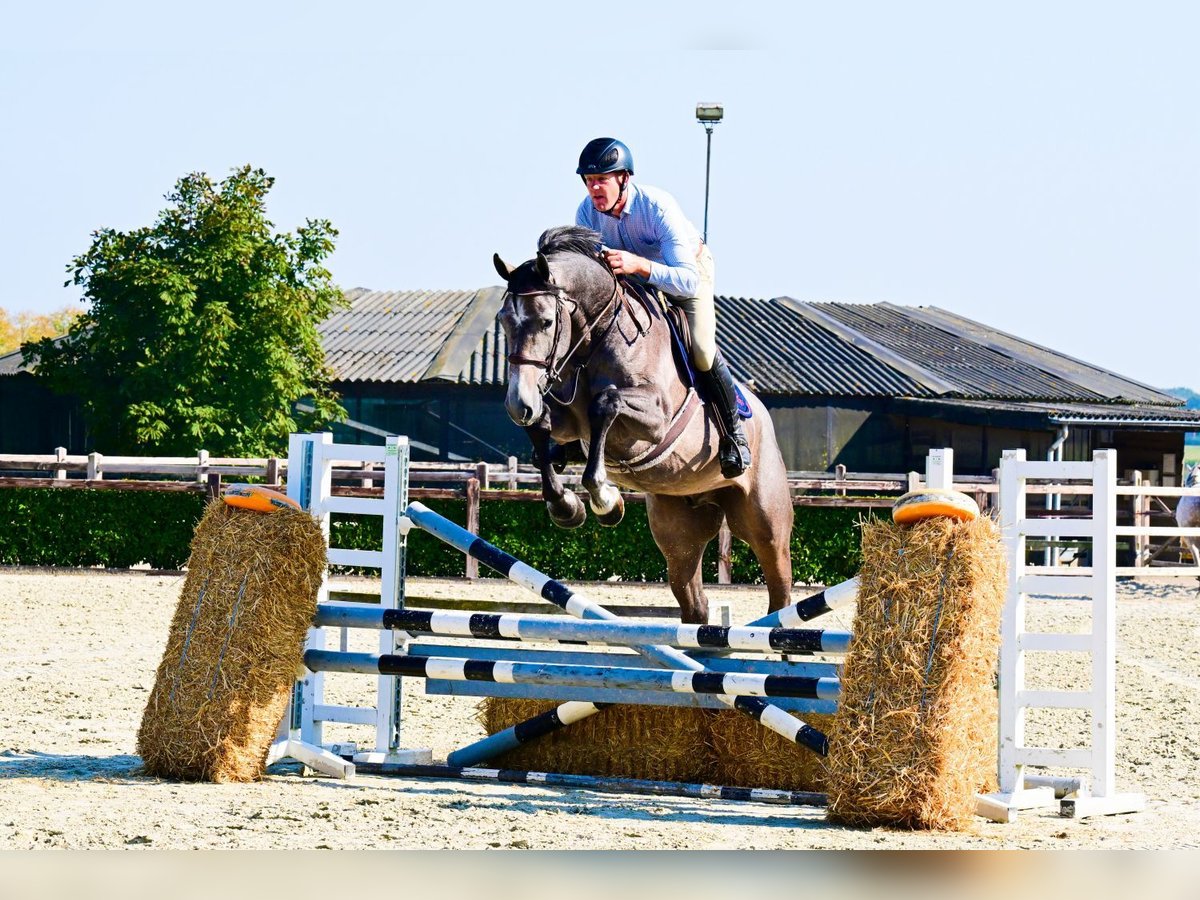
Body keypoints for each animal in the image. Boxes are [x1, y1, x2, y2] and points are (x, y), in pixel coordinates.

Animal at [496, 225, 796, 624]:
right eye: (503, 320)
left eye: (545, 321)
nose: (518, 404)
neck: (597, 338)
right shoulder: (562, 418)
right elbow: (541, 430)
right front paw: (566, 507)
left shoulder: (655, 422)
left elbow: (605, 405)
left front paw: (605, 500)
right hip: (678, 531)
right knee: (693, 601)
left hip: (765, 523)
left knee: (780, 588)